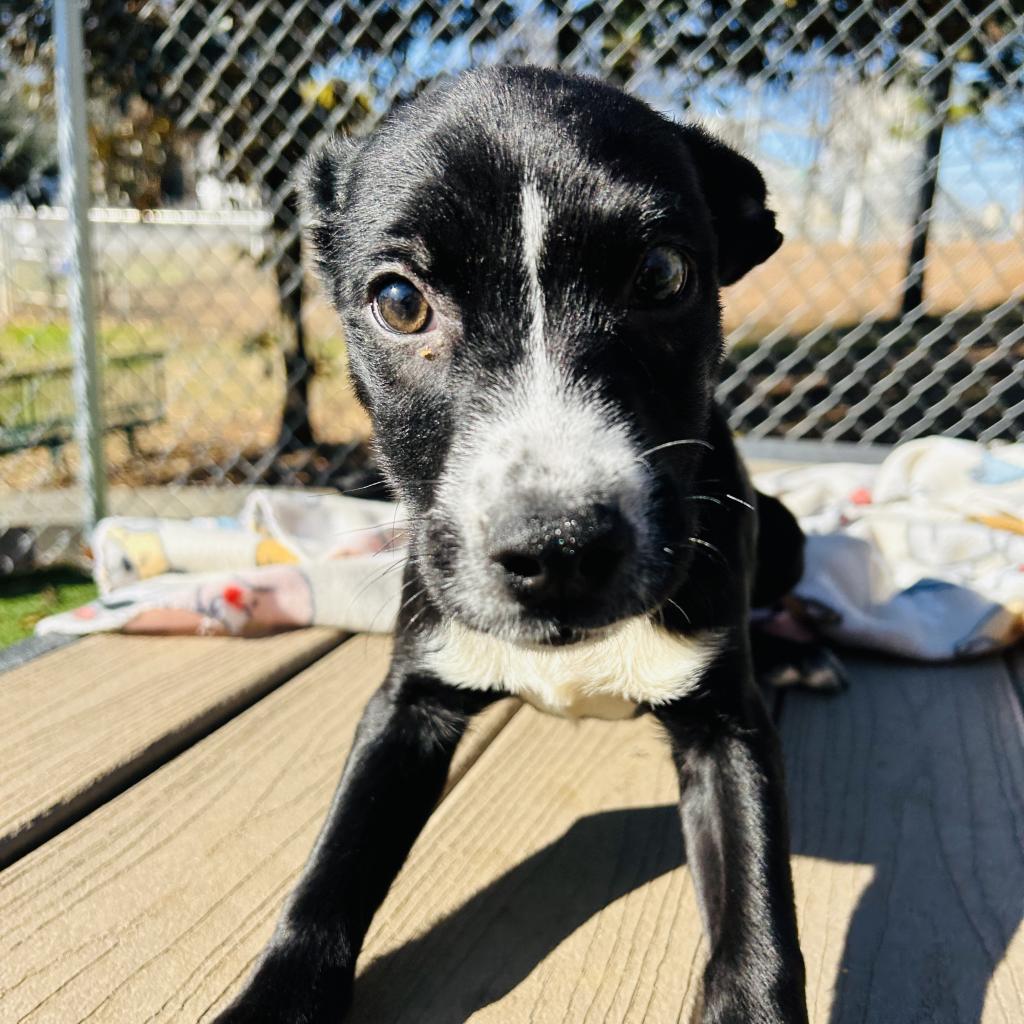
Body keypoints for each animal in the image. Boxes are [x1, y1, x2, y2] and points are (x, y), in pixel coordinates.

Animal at [218, 66, 806, 1024]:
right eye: (399, 302)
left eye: (662, 274)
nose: (558, 550)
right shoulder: (408, 702)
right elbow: (331, 872)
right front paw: (276, 999)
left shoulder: (729, 726)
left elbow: (757, 922)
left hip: (782, 534)